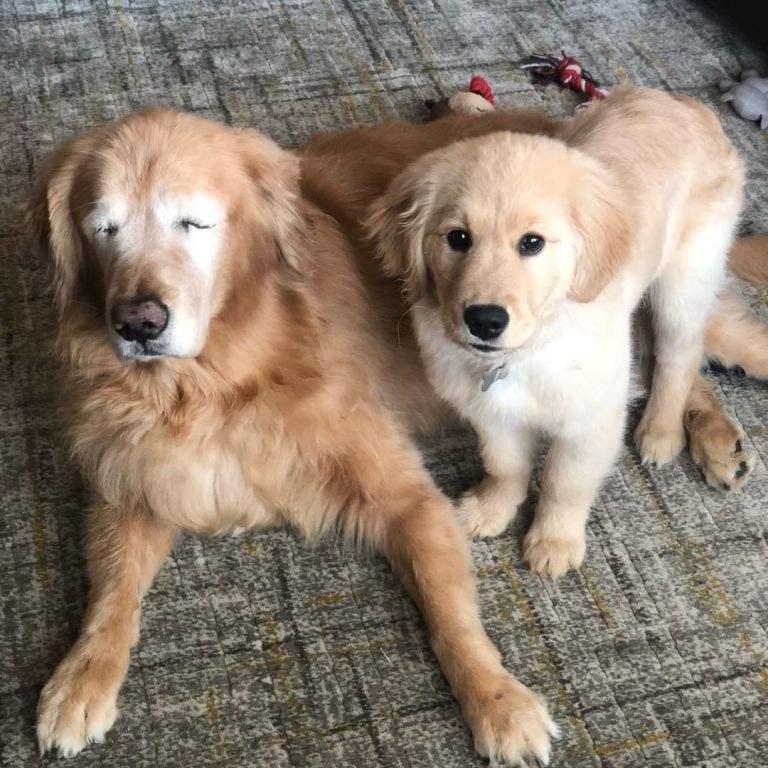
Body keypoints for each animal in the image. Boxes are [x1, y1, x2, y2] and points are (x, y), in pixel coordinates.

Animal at [27, 111, 556, 764]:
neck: (212, 387)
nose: (137, 324)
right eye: (104, 228)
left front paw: (498, 700)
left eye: (194, 222)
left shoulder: (408, 498)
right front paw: (81, 676)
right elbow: (111, 590)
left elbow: (451, 611)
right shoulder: (134, 481)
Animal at [368, 88, 748, 576]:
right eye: (457, 238)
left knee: (679, 355)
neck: (526, 352)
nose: (485, 320)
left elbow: (565, 483)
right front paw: (491, 508)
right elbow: (505, 465)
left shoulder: (591, 418)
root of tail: (681, 101)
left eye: (532, 243)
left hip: (686, 276)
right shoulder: (490, 411)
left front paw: (554, 540)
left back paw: (661, 432)